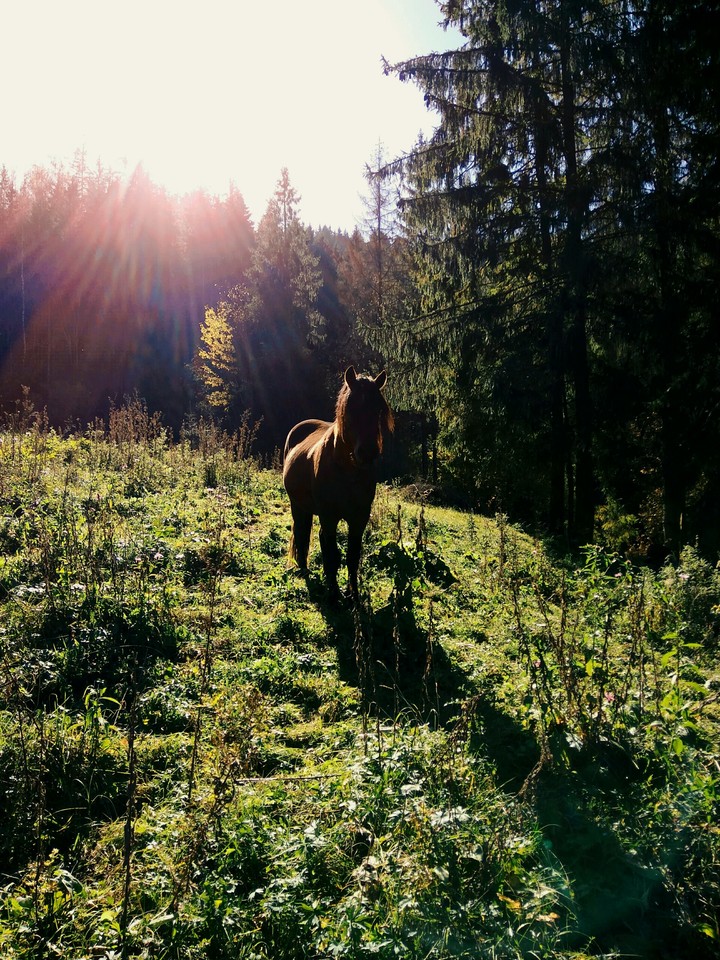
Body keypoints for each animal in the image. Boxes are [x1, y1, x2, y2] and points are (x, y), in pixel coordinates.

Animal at [283, 366, 394, 600]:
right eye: (350, 409)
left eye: (379, 410)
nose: (367, 454)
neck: (347, 471)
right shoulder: (329, 516)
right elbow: (332, 555)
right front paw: (334, 594)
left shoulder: (359, 518)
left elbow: (352, 556)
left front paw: (353, 594)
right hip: (298, 505)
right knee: (303, 534)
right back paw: (304, 569)